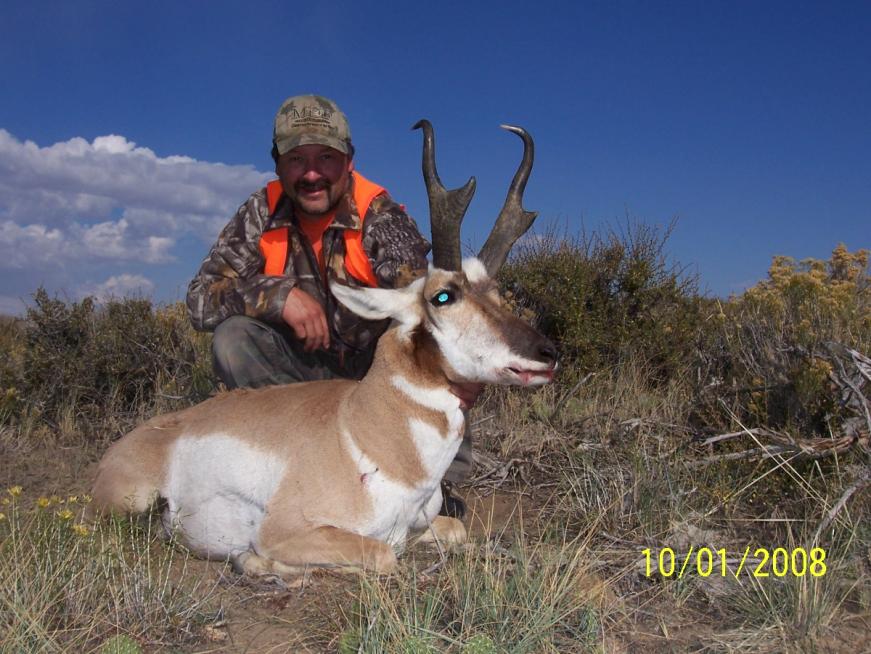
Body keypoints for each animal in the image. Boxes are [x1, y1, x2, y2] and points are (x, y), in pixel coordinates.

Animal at [89, 121, 557, 575]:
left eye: (495, 292)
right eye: (444, 296)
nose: (547, 353)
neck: (363, 427)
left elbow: (453, 530)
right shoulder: (287, 531)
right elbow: (384, 555)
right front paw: (253, 560)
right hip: (130, 504)